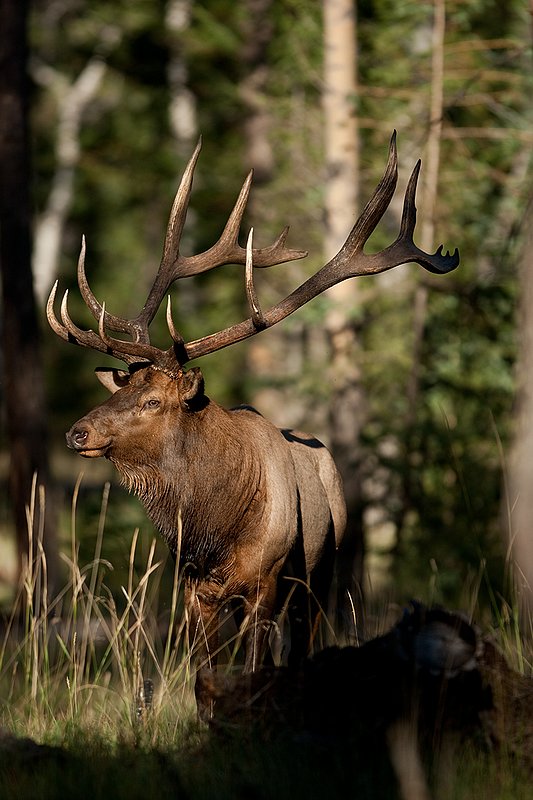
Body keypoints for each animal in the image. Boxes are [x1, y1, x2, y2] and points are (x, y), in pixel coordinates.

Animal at [47, 133, 459, 714]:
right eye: (122, 388)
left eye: (153, 401)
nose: (76, 432)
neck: (213, 530)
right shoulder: (193, 589)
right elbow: (205, 678)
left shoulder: (265, 582)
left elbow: (255, 670)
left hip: (323, 573)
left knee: (301, 646)